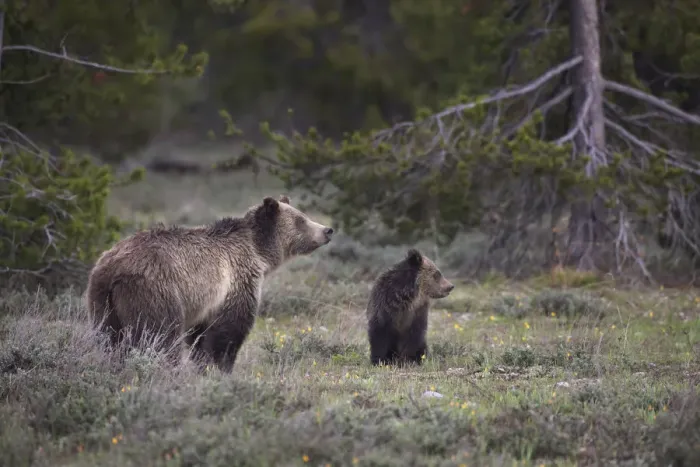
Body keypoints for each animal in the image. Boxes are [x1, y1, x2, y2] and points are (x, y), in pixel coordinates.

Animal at [84, 195, 334, 372]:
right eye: (301, 220)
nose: (328, 230)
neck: (259, 252)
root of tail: (112, 270)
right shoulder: (236, 281)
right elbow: (229, 331)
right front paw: (221, 367)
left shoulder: (205, 303)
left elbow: (199, 338)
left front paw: (202, 365)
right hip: (154, 291)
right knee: (161, 335)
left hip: (102, 301)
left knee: (109, 337)